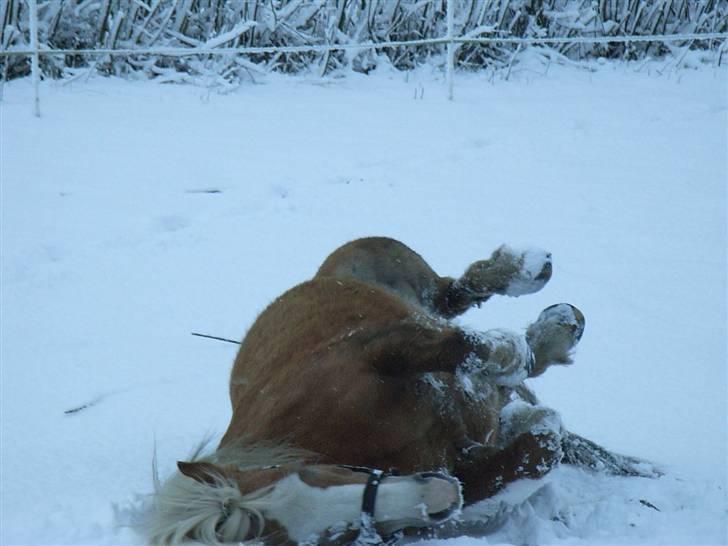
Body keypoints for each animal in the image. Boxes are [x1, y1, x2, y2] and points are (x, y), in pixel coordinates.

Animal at [145, 237, 656, 544]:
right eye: (325, 538)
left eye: (308, 476)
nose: (437, 498)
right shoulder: (461, 467)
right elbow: (534, 448)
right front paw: (522, 418)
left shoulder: (380, 348)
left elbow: (463, 346)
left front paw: (510, 354)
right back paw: (551, 338)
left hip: (383, 261)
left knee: (453, 292)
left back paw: (532, 279)